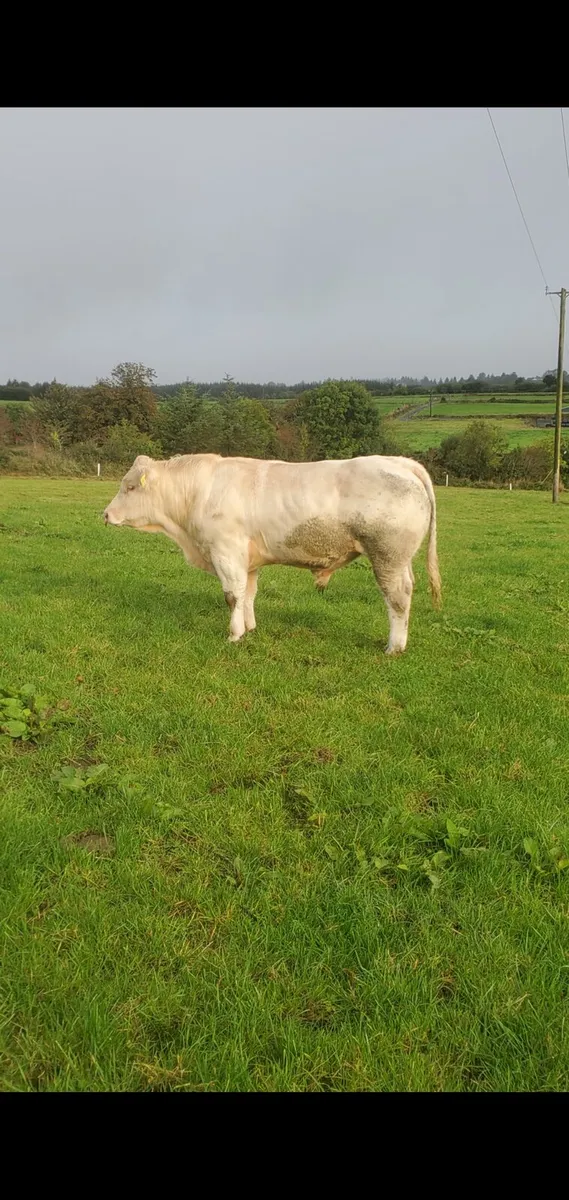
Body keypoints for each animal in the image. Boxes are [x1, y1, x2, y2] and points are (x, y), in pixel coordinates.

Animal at [103, 453, 441, 654]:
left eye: (130, 487)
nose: (105, 514)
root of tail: (400, 462)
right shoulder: (248, 560)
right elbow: (248, 595)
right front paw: (250, 628)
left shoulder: (226, 552)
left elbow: (232, 596)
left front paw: (234, 634)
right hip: (400, 558)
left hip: (387, 555)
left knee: (397, 597)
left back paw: (394, 647)